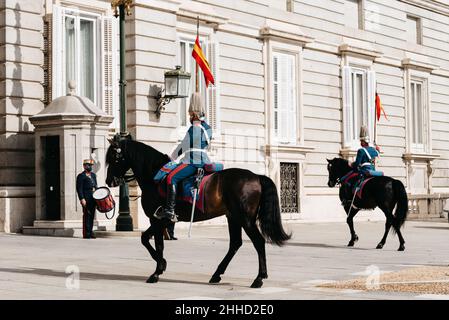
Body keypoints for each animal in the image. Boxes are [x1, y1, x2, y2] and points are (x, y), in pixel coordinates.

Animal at [105, 134, 290, 288]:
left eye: (114, 158)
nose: (109, 181)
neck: (153, 175)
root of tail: (256, 176)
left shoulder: (157, 220)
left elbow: (152, 242)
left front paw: (158, 270)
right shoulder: (160, 221)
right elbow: (151, 241)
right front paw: (160, 267)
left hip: (245, 219)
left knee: (258, 242)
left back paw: (259, 278)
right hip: (233, 217)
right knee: (235, 244)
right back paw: (217, 274)